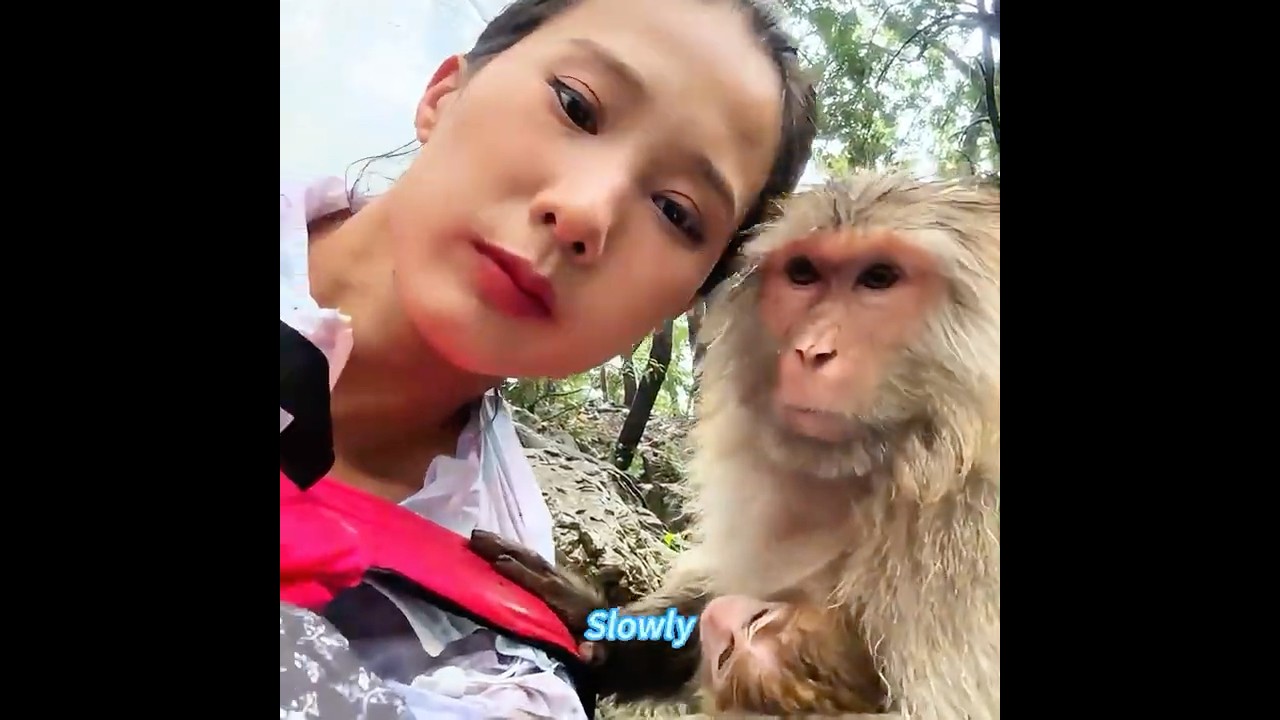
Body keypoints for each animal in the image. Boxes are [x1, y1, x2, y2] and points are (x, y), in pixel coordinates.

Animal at [470, 170, 1000, 720]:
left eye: (879, 277)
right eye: (804, 272)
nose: (812, 349)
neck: (908, 459)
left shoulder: (968, 541)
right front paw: (596, 623)